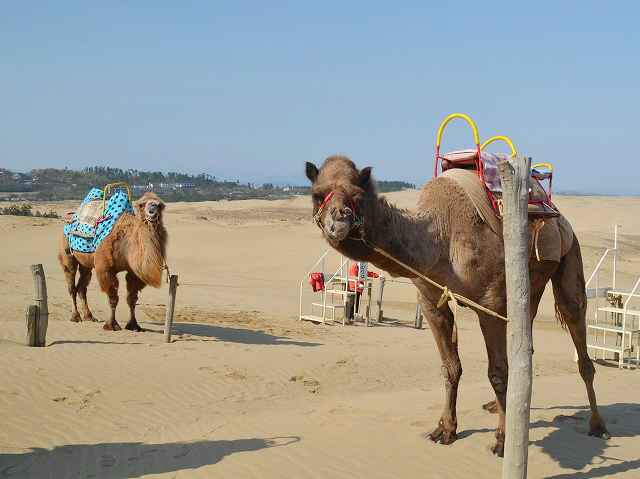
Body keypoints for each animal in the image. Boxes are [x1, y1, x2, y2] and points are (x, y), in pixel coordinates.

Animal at [57, 192, 168, 332]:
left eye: (160, 205)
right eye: (141, 205)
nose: (152, 210)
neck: (127, 244)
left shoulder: (134, 272)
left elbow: (132, 299)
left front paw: (133, 325)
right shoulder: (106, 269)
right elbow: (113, 298)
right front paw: (111, 325)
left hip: (86, 263)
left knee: (82, 286)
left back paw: (89, 316)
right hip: (66, 252)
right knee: (71, 283)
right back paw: (75, 317)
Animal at [305, 155, 610, 456]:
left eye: (357, 195)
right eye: (317, 194)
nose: (338, 219)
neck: (440, 238)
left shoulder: (490, 303)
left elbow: (498, 373)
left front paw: (502, 440)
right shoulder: (431, 302)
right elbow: (451, 368)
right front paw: (446, 430)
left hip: (571, 253)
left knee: (576, 326)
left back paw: (598, 425)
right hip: (528, 286)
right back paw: (500, 406)